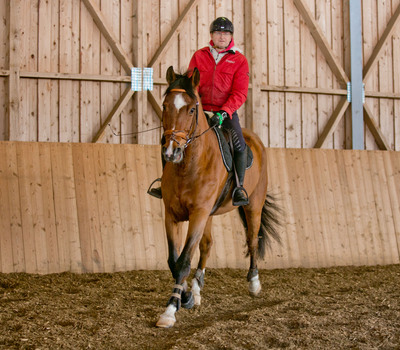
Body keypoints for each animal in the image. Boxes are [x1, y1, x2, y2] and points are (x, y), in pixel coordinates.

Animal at [156, 66, 282, 328]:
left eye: (191, 109)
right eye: (165, 106)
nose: (171, 151)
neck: (189, 166)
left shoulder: (198, 214)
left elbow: (183, 261)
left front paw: (171, 309)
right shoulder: (172, 214)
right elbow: (174, 261)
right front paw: (186, 296)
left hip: (252, 205)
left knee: (252, 239)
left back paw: (254, 283)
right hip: (210, 214)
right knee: (207, 245)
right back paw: (197, 288)